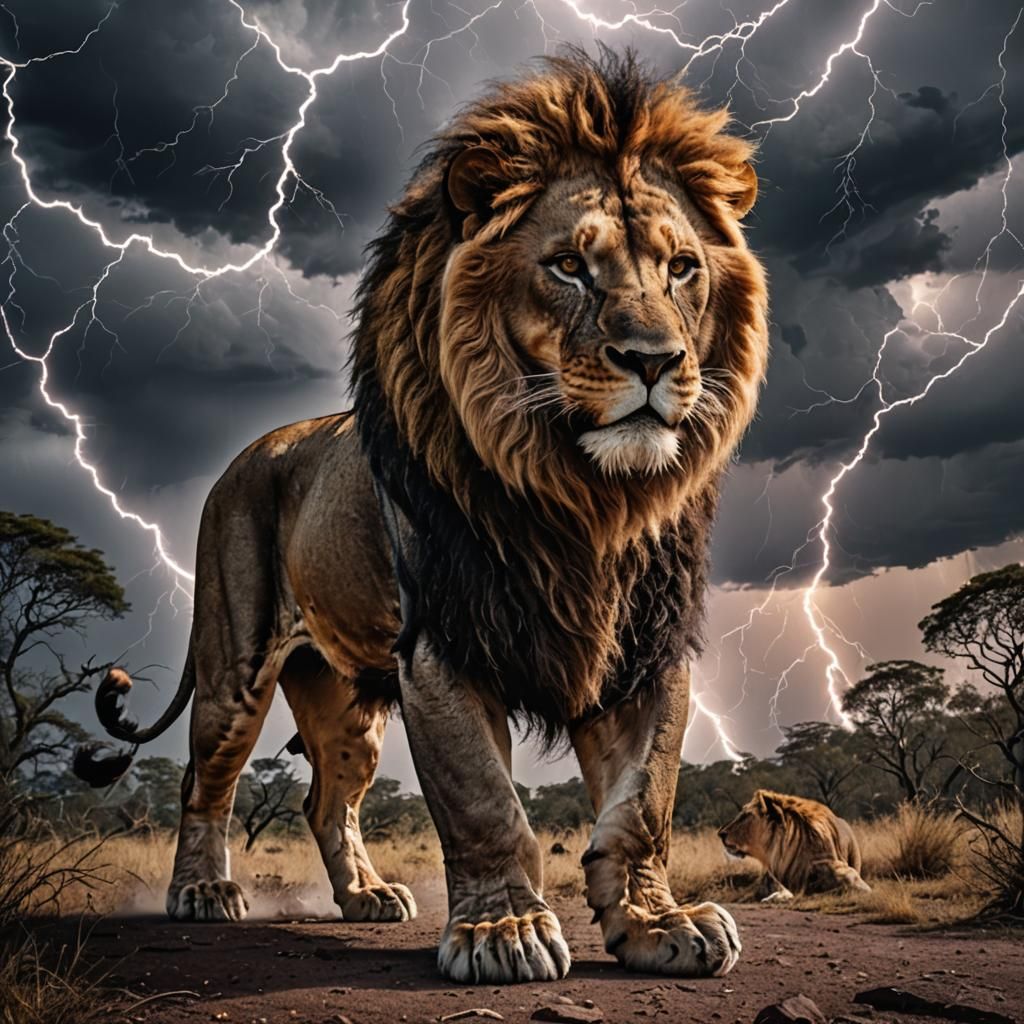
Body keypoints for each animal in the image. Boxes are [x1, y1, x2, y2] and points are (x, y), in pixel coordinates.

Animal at [79, 49, 768, 983]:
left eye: (682, 268)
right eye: (568, 266)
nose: (655, 360)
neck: (585, 497)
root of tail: (250, 452)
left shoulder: (643, 647)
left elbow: (644, 799)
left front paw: (660, 923)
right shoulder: (443, 641)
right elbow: (483, 801)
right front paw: (502, 933)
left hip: (345, 702)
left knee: (325, 800)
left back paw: (367, 896)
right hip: (234, 666)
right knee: (203, 783)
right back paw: (205, 893)